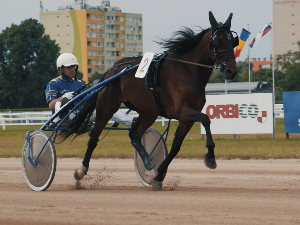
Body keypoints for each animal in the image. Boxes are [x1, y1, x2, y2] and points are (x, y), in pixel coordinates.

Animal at [59, 11, 238, 191]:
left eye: (234, 41)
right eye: (218, 41)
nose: (231, 71)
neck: (188, 70)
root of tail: (112, 69)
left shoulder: (185, 119)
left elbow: (175, 148)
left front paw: (158, 176)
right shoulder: (184, 112)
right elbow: (206, 119)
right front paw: (210, 157)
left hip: (148, 112)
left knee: (134, 135)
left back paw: (149, 164)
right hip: (106, 107)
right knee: (94, 138)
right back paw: (81, 170)